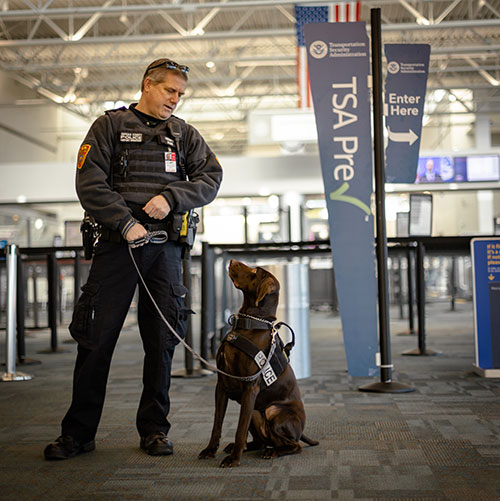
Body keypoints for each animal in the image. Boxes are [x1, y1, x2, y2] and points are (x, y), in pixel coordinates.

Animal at [198, 260, 318, 466]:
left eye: (254, 271)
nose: (231, 261)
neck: (250, 325)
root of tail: (301, 432)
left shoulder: (250, 387)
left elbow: (240, 428)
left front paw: (233, 460)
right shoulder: (221, 385)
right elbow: (217, 423)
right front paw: (210, 450)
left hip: (272, 410)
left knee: (293, 446)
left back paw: (273, 452)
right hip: (255, 410)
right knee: (262, 441)